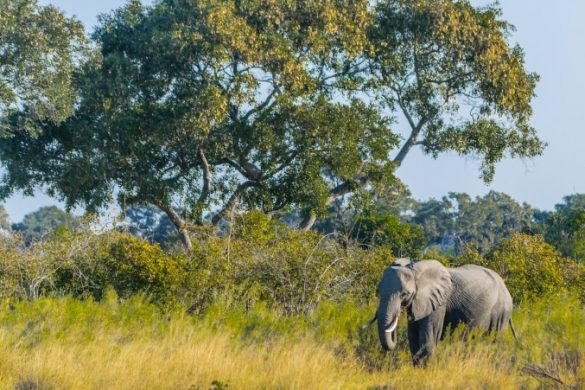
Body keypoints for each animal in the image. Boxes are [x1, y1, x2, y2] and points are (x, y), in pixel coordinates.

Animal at [374, 258, 516, 366]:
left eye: (404, 294)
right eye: (379, 290)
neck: (416, 271)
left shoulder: (439, 303)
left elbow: (428, 337)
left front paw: (423, 371)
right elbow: (413, 340)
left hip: (501, 311)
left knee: (494, 340)